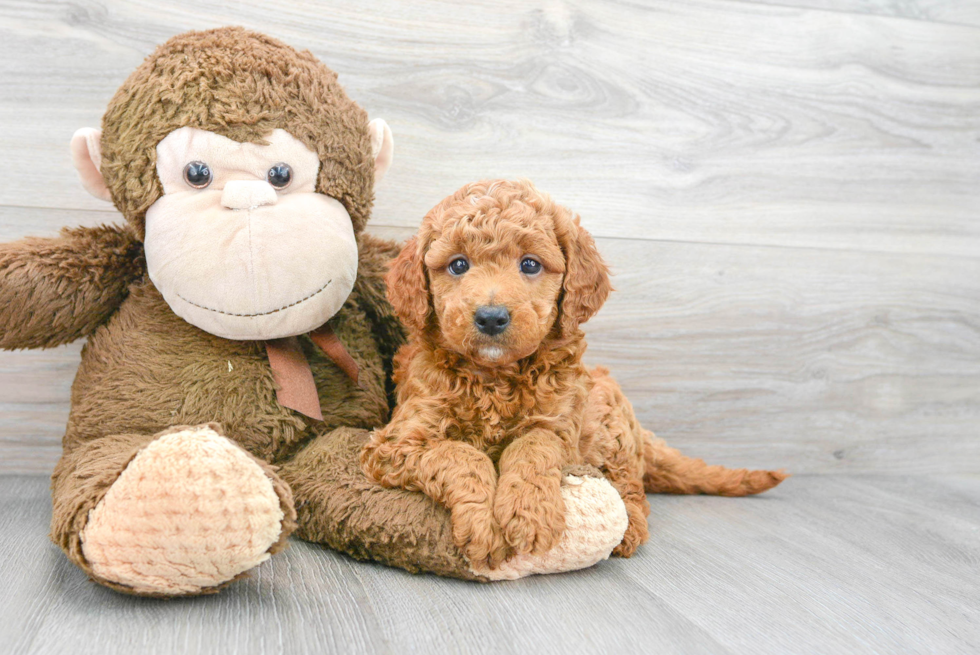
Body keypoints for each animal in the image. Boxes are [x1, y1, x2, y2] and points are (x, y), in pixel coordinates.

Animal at [362, 179, 788, 568]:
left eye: (530, 264)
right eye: (458, 265)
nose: (491, 317)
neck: (496, 377)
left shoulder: (560, 427)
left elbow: (531, 447)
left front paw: (529, 515)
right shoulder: (396, 442)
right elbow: (461, 454)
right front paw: (484, 525)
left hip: (609, 429)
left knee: (631, 488)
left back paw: (628, 529)